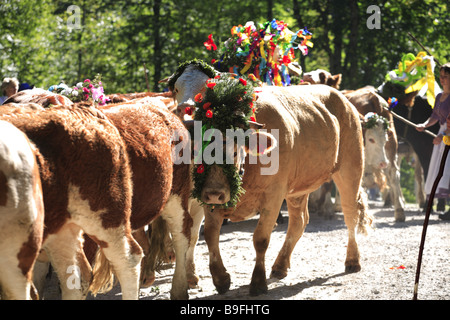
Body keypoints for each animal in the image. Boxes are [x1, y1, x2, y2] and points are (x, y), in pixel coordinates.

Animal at [168, 63, 372, 298]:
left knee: (350, 214)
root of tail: (342, 98)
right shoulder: (210, 198)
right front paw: (221, 278)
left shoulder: (273, 196)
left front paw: (258, 282)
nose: (185, 110)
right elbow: (210, 235)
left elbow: (261, 239)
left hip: (350, 169)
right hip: (298, 188)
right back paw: (280, 265)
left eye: (235, 151)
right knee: (299, 221)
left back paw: (352, 260)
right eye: (199, 154)